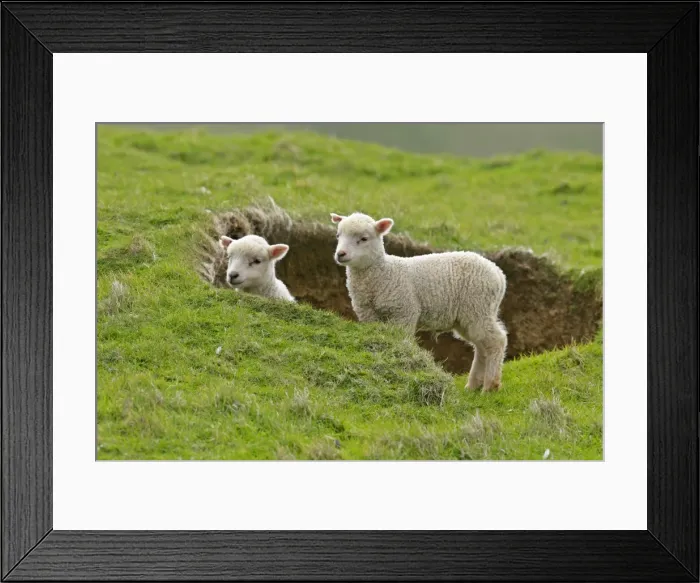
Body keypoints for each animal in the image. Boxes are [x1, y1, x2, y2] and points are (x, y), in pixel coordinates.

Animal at [331, 212, 508, 391]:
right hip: (470, 315)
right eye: (338, 235)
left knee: (496, 341)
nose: (340, 254)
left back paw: (490, 386)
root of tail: (498, 273)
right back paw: (472, 386)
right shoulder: (367, 314)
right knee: (481, 346)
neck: (382, 273)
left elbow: (401, 340)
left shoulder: (404, 312)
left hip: (478, 307)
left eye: (364, 238)